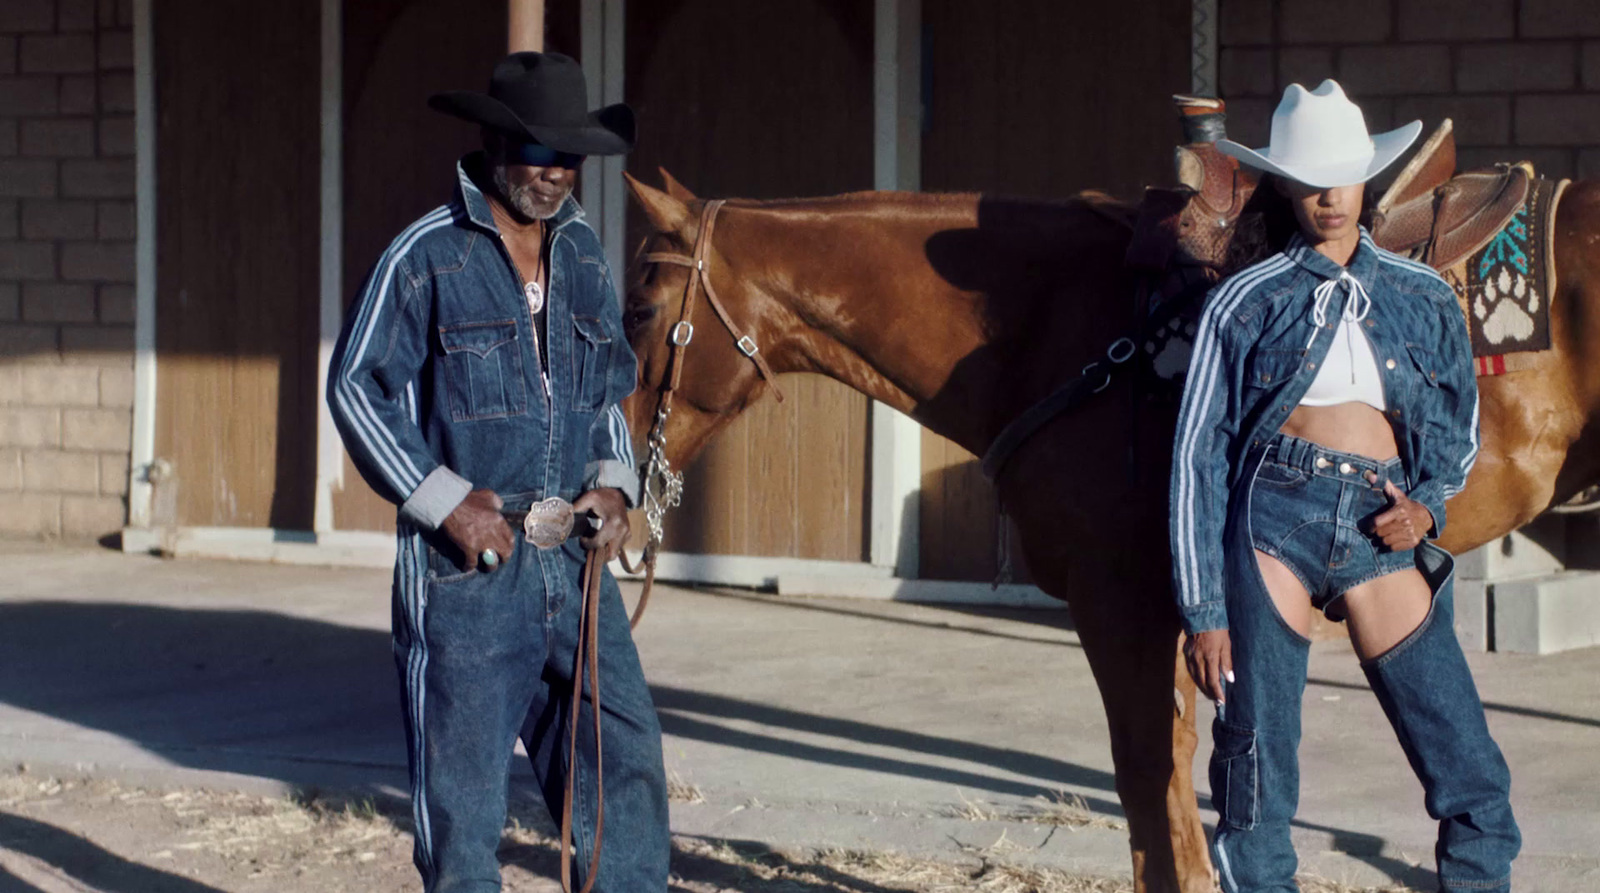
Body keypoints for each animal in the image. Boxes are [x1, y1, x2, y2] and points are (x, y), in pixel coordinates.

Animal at [617, 169, 1600, 893]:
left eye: (638, 310)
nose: (612, 488)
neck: (1050, 328)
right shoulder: (1175, 611)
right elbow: (1168, 786)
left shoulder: (1117, 601)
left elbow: (1146, 779)